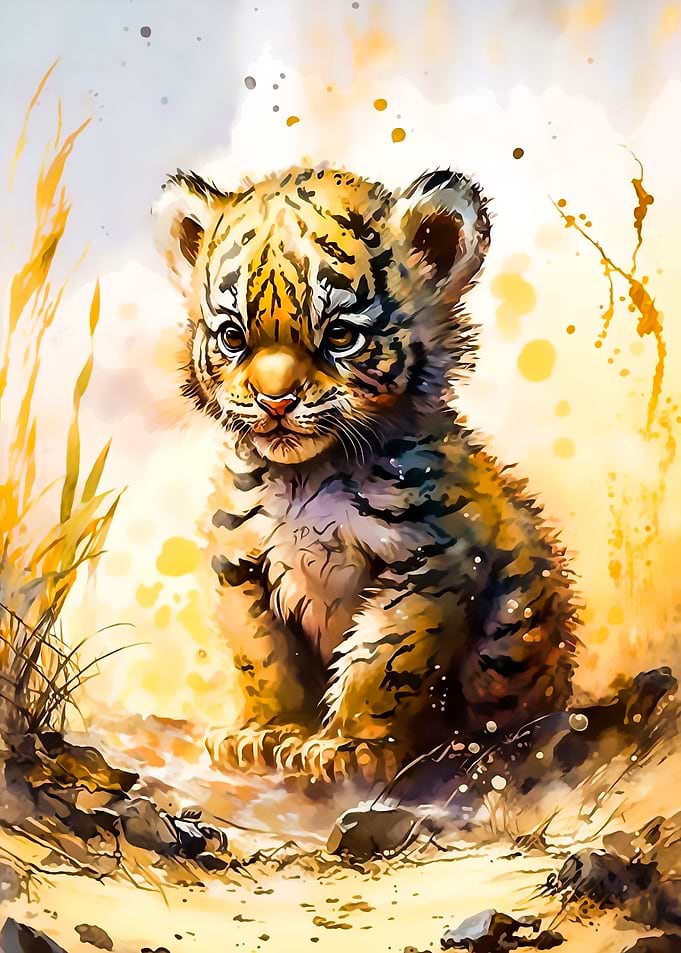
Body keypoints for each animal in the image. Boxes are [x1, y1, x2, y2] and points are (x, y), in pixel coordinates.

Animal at [155, 164, 578, 784]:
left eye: (339, 336)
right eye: (233, 337)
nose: (274, 399)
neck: (308, 478)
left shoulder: (432, 561)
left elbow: (384, 659)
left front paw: (347, 746)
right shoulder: (238, 564)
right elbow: (262, 655)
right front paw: (266, 731)